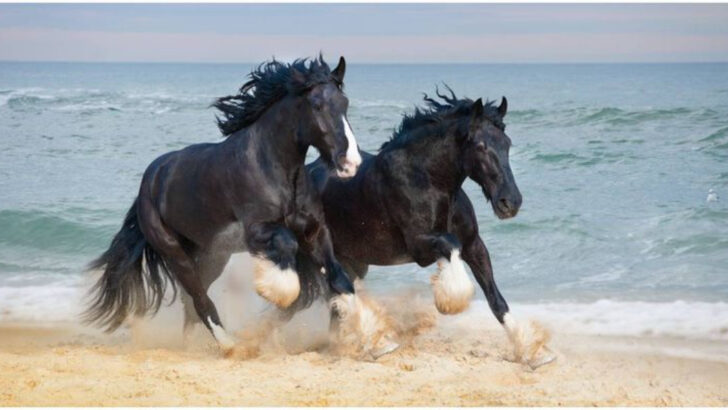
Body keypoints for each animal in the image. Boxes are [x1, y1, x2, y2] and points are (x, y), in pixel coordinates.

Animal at [83, 56, 382, 355]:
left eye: (345, 103)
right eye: (317, 105)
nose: (350, 163)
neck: (272, 167)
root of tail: (150, 181)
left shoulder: (315, 230)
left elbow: (340, 279)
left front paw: (374, 337)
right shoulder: (256, 232)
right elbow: (287, 243)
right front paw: (277, 289)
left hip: (212, 255)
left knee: (191, 300)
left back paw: (192, 344)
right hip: (175, 253)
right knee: (199, 298)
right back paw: (229, 345)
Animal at [302, 88, 554, 368]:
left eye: (507, 144)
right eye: (480, 146)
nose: (510, 202)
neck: (428, 180)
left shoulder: (474, 244)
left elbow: (496, 300)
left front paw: (532, 352)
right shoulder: (419, 245)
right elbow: (450, 244)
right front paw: (450, 300)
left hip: (354, 262)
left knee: (338, 302)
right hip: (320, 254)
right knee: (336, 292)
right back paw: (375, 344)